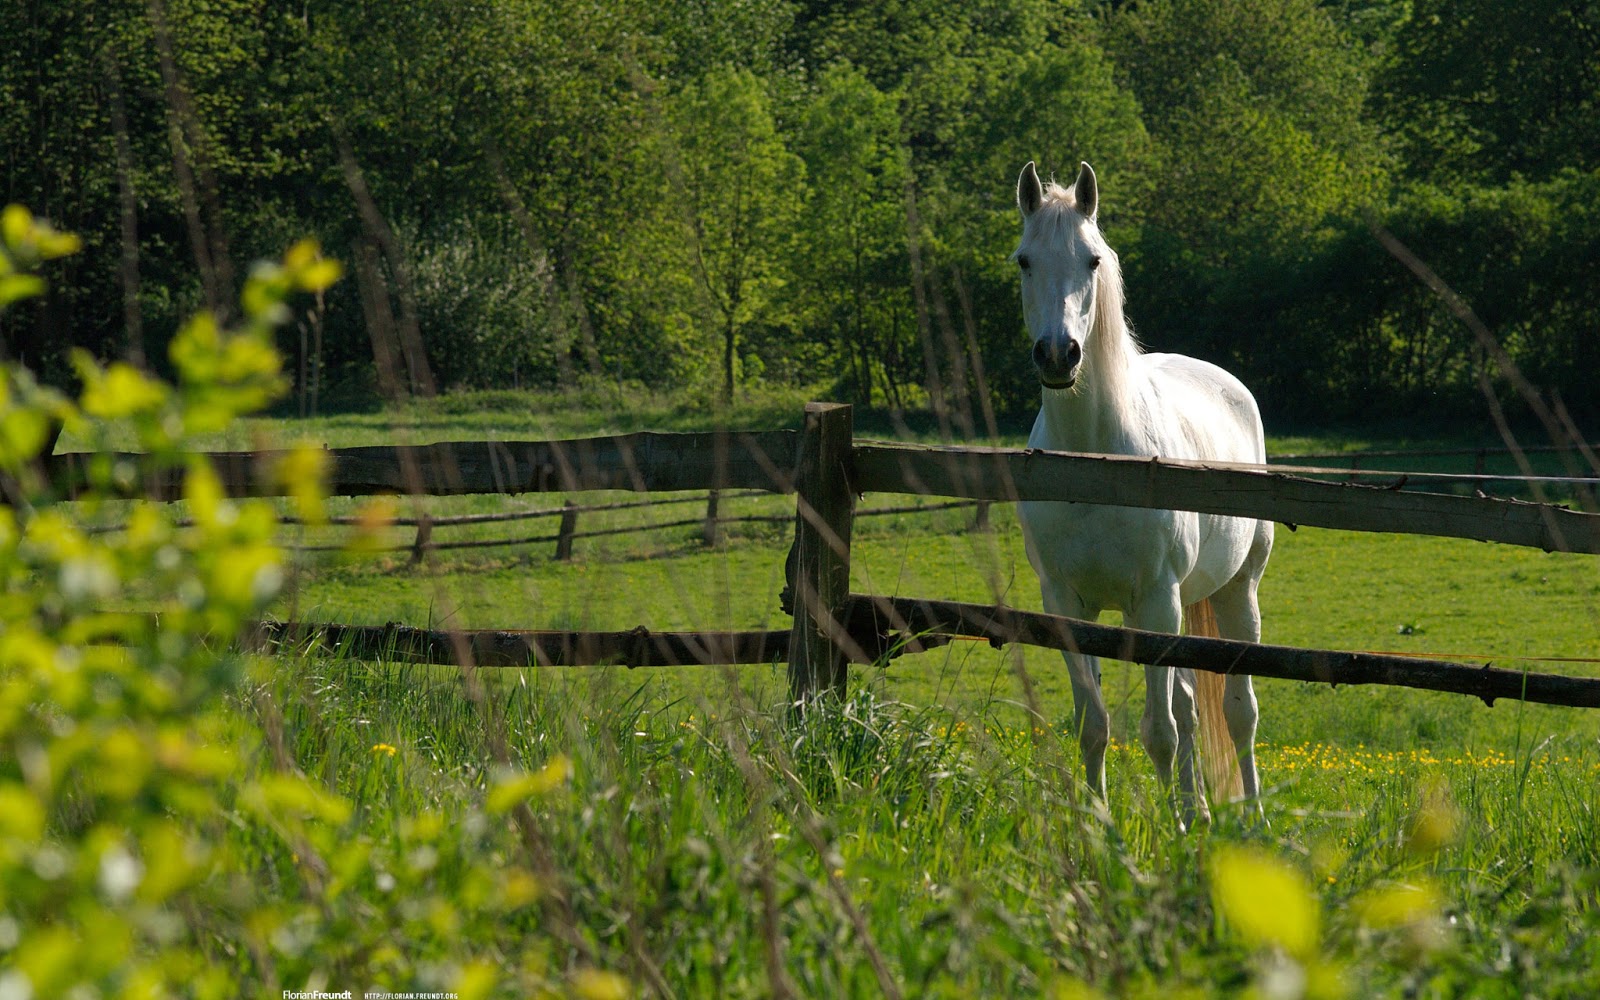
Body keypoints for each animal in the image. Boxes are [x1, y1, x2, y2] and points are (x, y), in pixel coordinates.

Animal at [1012, 160, 1273, 829]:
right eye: (1024, 261)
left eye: (1092, 260)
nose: (1058, 355)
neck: (1094, 465)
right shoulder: (1069, 606)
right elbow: (1095, 725)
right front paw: (1098, 828)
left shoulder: (1155, 602)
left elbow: (1160, 732)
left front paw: (1175, 833)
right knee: (1189, 706)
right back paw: (1201, 809)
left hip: (1233, 593)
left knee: (1237, 712)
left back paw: (1253, 819)